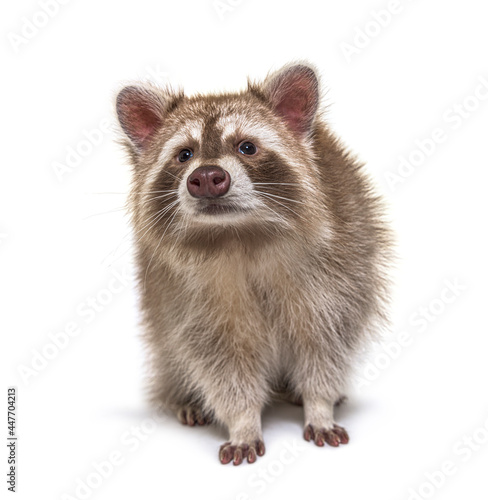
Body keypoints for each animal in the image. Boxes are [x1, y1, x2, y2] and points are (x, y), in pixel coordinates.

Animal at [115, 62, 392, 464]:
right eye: (184, 154)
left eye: (247, 147)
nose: (206, 178)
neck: (238, 233)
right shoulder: (187, 295)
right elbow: (222, 363)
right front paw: (243, 422)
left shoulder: (339, 268)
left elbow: (325, 345)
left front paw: (319, 405)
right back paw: (185, 395)